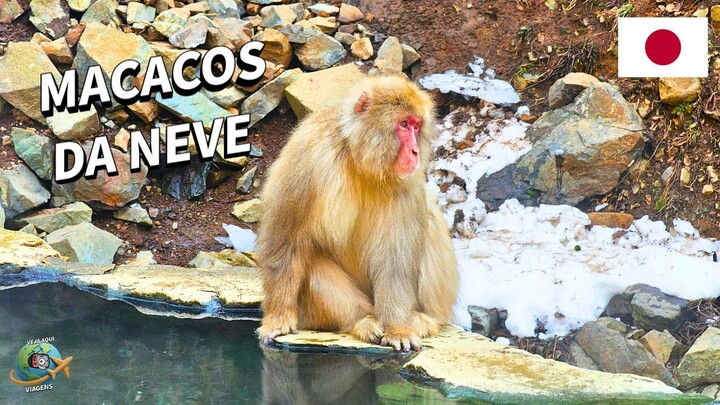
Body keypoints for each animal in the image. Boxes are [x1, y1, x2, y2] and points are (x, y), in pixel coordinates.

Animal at [256, 75, 459, 352]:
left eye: (416, 127)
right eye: (403, 124)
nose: (415, 151)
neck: (359, 160)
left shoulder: (407, 182)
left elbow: (395, 259)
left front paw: (398, 327)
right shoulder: (308, 158)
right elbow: (286, 242)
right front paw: (278, 318)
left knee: (428, 217)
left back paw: (422, 319)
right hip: (313, 313)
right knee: (309, 257)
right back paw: (363, 320)